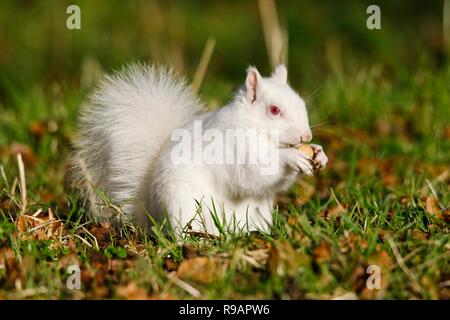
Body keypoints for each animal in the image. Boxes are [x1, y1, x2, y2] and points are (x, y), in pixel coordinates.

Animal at [72, 63, 328, 238]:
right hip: (183, 208)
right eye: (274, 110)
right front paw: (291, 157)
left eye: (301, 103)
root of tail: (153, 215)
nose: (306, 136)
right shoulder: (232, 147)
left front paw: (319, 153)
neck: (255, 129)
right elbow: (252, 173)